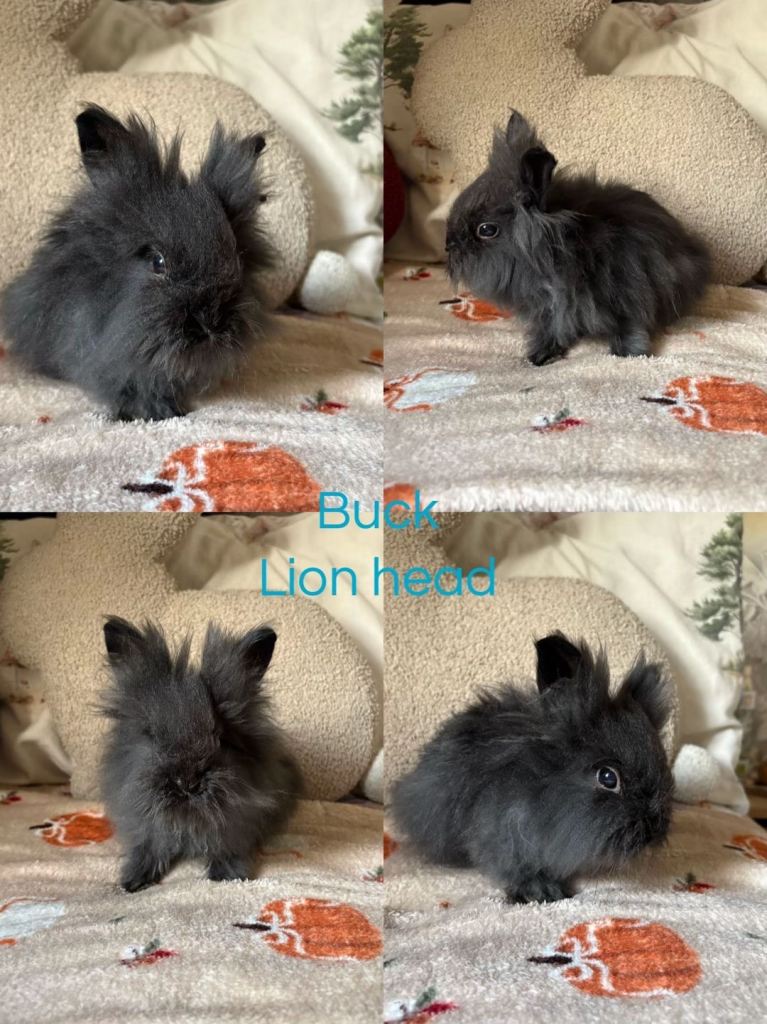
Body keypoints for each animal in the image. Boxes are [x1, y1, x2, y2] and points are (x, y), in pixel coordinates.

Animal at [99, 616, 301, 892]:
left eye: (221, 735)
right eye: (152, 734)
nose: (188, 783)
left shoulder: (236, 827)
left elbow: (227, 849)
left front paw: (227, 876)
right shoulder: (145, 826)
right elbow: (149, 848)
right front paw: (133, 881)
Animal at [445, 110, 712, 365]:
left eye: (486, 230)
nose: (448, 246)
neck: (561, 249)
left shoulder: (628, 294)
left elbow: (631, 328)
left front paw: (627, 354)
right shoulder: (551, 311)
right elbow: (551, 332)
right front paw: (539, 356)